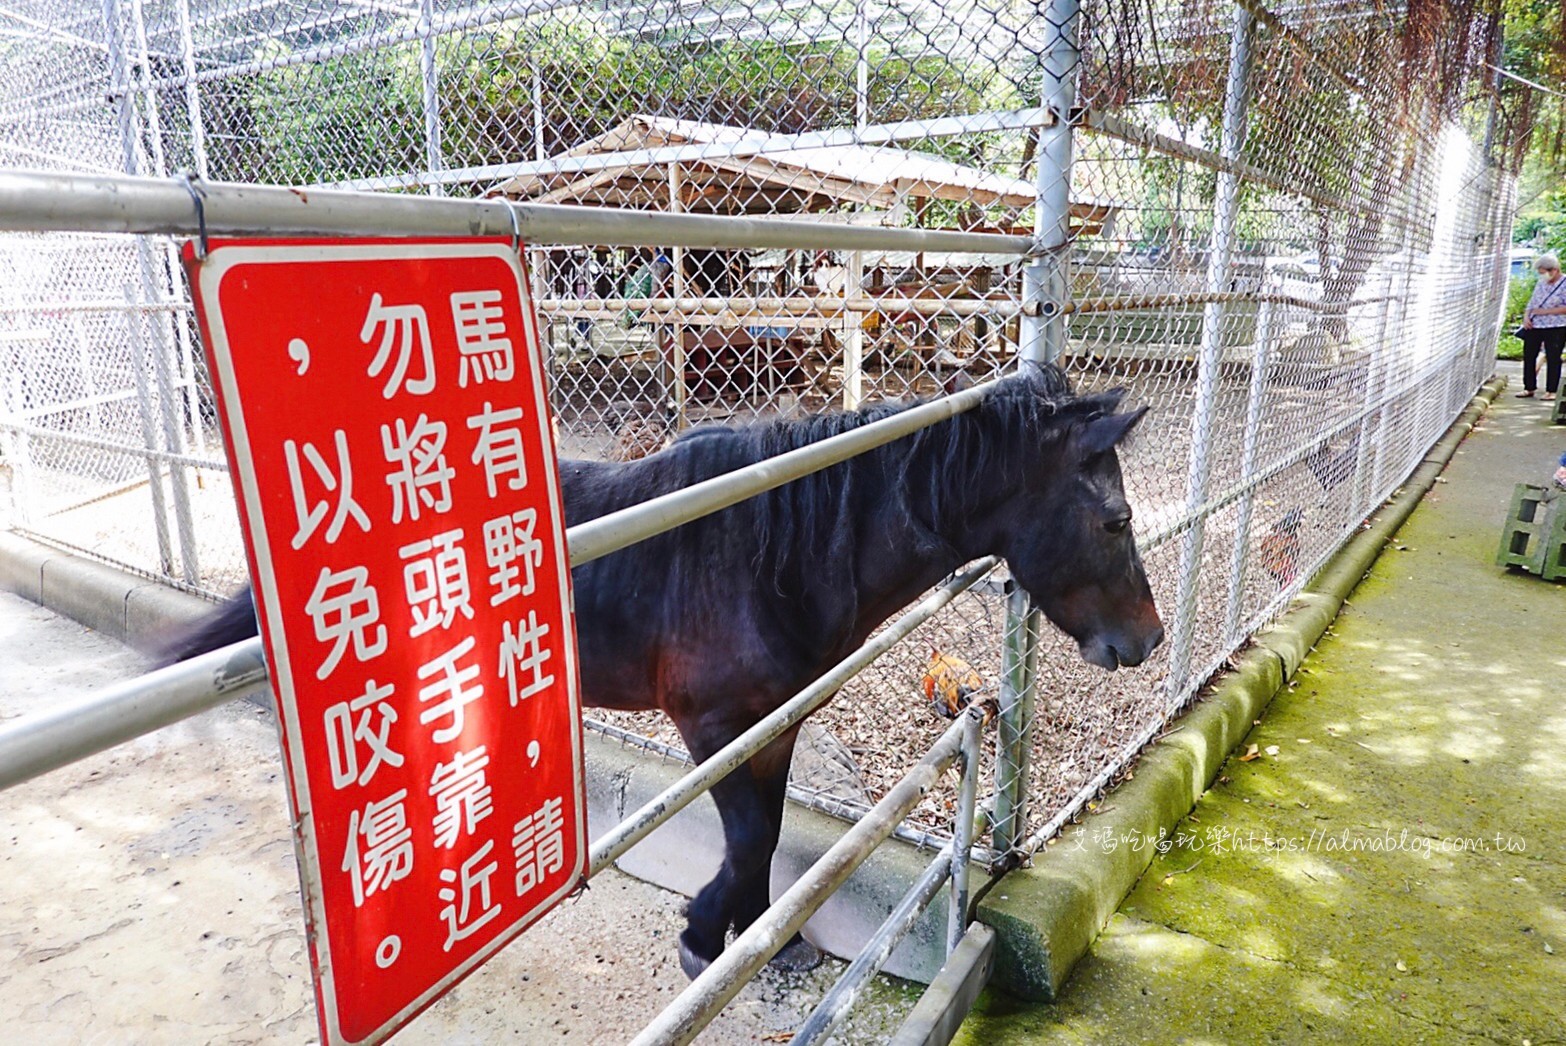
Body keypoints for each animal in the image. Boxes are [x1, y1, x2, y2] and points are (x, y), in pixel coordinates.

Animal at [171, 361, 1165, 983]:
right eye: (1115, 519)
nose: (1148, 641)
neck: (773, 553)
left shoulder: (774, 720)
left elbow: (765, 831)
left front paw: (766, 937)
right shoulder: (712, 725)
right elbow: (747, 838)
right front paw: (702, 936)